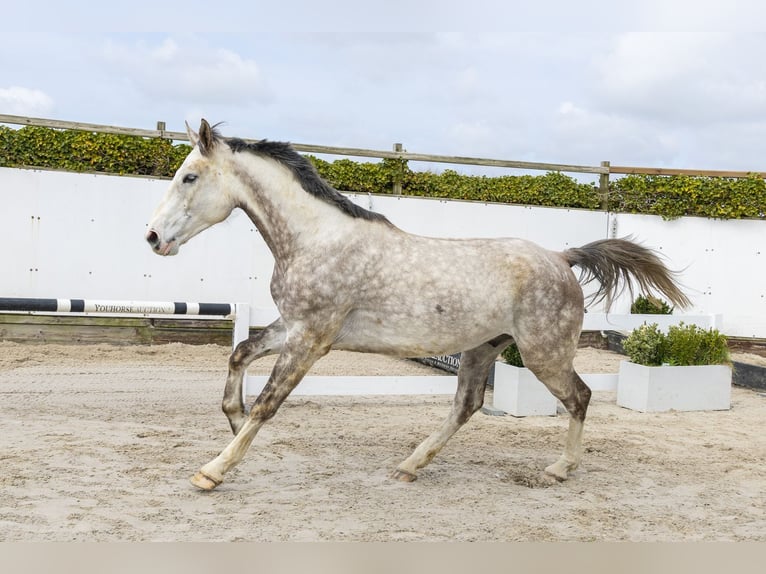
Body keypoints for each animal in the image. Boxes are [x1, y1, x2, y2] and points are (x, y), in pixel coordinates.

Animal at [145, 119, 690, 491]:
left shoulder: (312, 339)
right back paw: (411, 464)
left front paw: (213, 470)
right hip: (483, 348)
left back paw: (559, 468)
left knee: (579, 397)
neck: (317, 239)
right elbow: (241, 355)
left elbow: (269, 402)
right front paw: (233, 422)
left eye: (189, 177)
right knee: (467, 405)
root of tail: (561, 257)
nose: (152, 238)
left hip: (543, 353)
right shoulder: (294, 327)